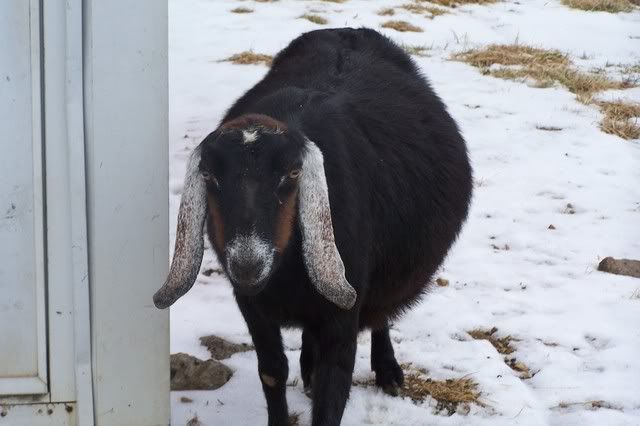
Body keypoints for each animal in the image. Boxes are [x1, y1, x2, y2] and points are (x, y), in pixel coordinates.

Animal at [154, 28, 473, 426]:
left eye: (292, 173)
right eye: (210, 175)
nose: (247, 263)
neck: (286, 274)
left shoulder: (344, 311)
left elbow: (333, 385)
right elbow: (272, 371)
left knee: (381, 316)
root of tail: (348, 30)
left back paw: (387, 370)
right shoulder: (252, 304)